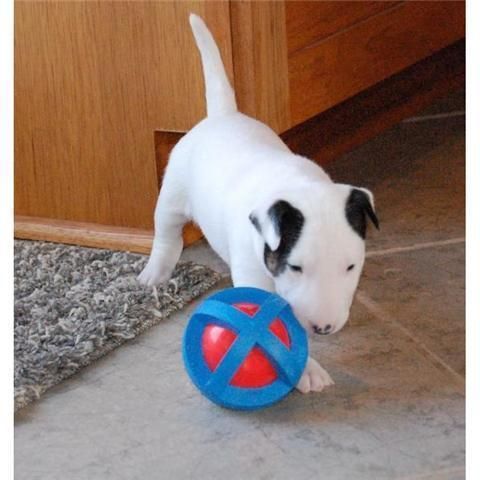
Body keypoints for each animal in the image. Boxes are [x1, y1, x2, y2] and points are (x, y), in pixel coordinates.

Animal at [139, 15, 378, 394]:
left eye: (351, 267)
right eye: (295, 267)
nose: (323, 328)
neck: (294, 182)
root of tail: (222, 114)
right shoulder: (253, 272)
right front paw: (306, 369)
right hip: (172, 195)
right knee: (167, 234)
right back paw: (155, 273)